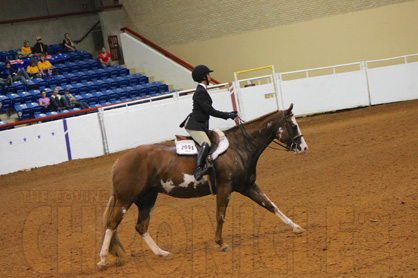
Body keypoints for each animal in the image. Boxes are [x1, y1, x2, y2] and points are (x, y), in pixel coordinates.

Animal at [97, 102, 306, 270]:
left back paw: (162, 253)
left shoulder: (247, 186)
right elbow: (220, 215)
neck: (239, 147)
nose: (304, 148)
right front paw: (221, 243)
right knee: (111, 225)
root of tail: (119, 161)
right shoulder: (225, 188)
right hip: (125, 200)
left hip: (146, 199)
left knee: (141, 227)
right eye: (293, 125)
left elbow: (270, 205)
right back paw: (102, 261)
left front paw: (295, 227)